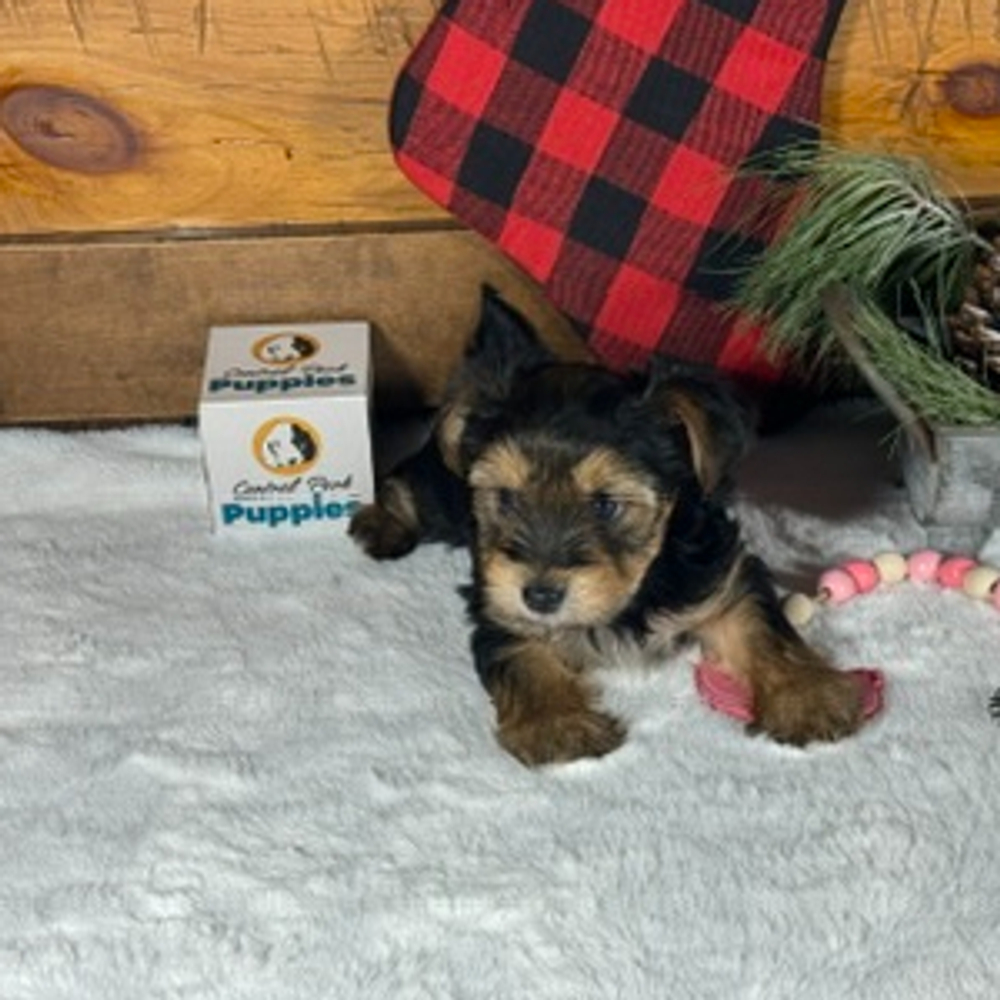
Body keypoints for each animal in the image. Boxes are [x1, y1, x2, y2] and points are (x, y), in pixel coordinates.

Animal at [350, 287, 864, 766]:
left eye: (605, 505)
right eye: (507, 498)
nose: (541, 596)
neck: (633, 593)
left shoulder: (717, 573)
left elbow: (760, 625)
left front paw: (805, 696)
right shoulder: (496, 595)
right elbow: (521, 653)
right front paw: (558, 724)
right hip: (443, 486)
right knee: (409, 482)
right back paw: (381, 522)